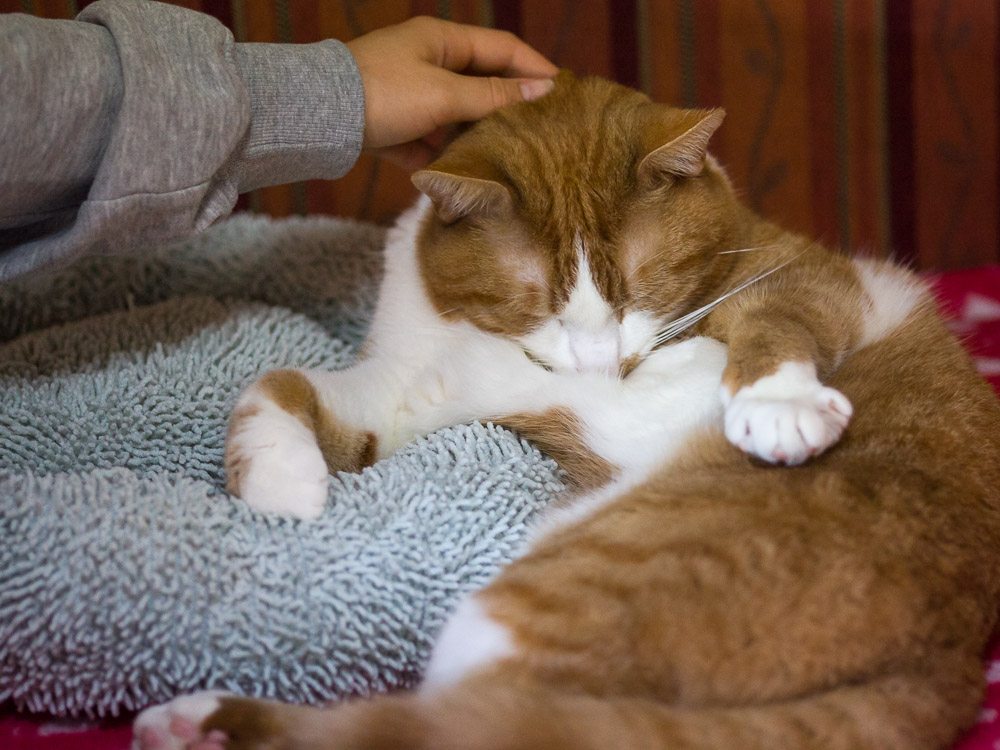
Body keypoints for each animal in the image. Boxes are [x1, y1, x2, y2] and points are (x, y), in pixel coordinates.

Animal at [133, 72, 1000, 750]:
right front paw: (282, 488)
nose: (596, 358)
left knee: (446, 727)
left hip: (528, 606)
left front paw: (774, 401)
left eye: (638, 285)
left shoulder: (812, 282)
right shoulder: (398, 389)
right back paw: (198, 725)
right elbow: (276, 383)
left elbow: (767, 327)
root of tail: (948, 655)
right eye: (538, 300)